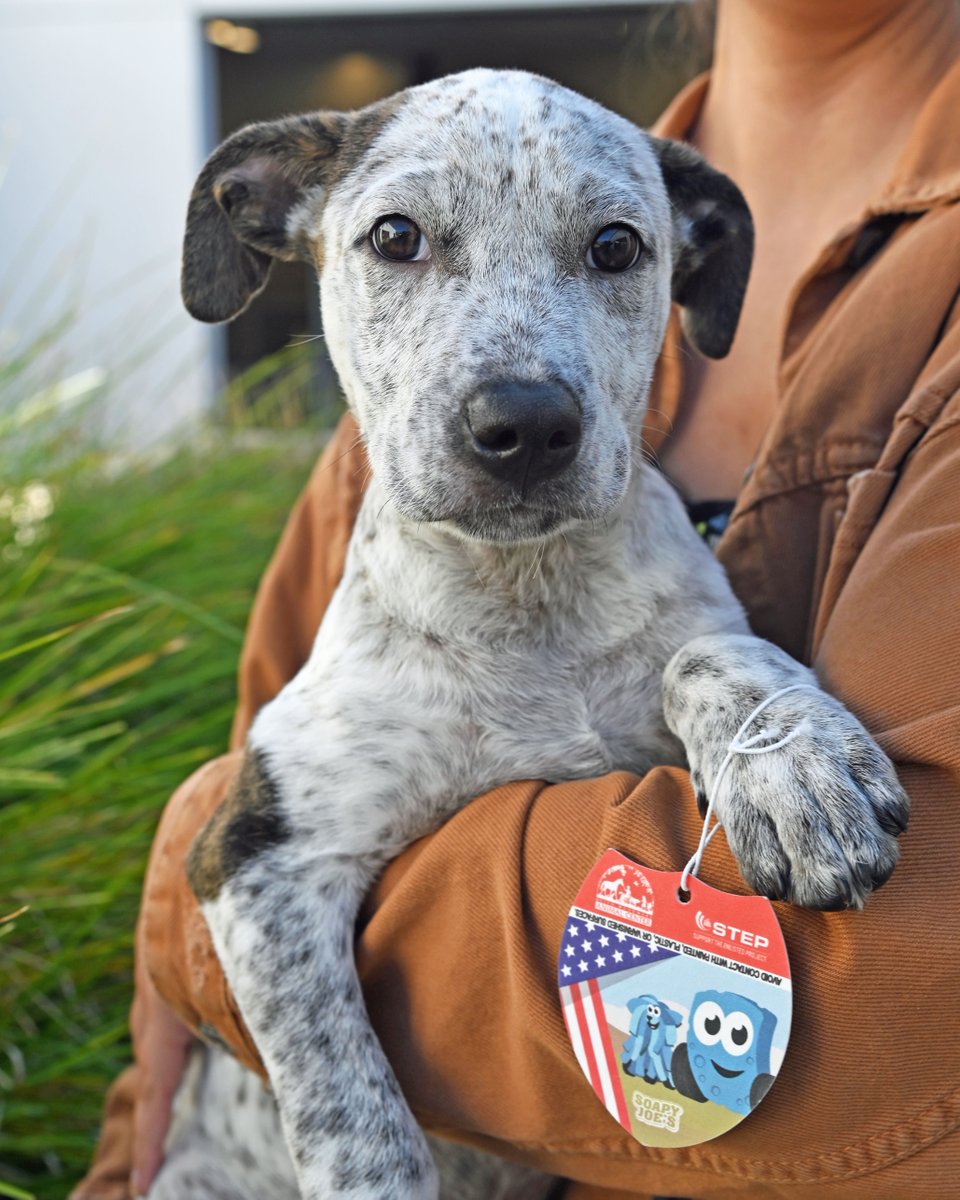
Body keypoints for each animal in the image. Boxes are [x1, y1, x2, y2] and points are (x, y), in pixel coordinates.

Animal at [151, 68, 907, 1200]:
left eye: (617, 247)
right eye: (396, 236)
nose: (524, 426)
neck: (526, 605)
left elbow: (706, 649)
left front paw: (794, 765)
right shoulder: (258, 855)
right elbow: (354, 1113)